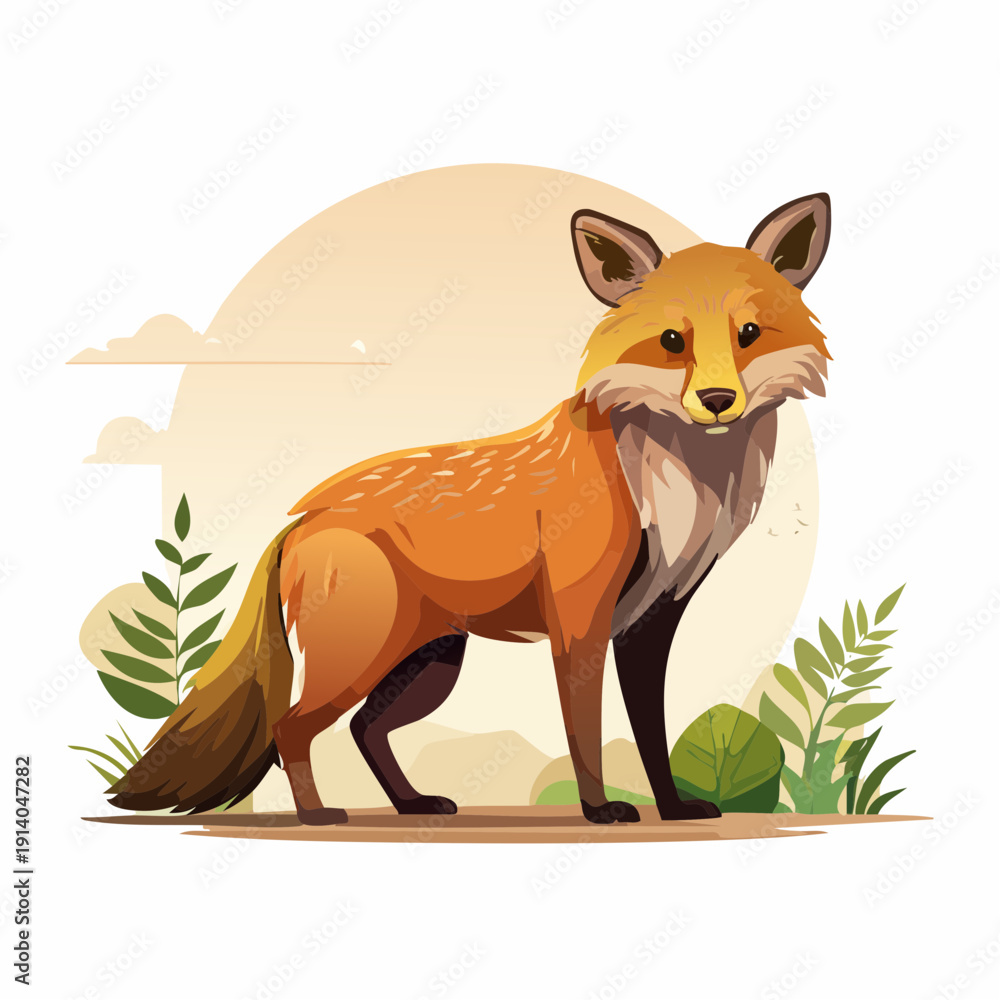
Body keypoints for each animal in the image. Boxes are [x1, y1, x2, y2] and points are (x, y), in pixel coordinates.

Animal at [108, 192, 831, 825]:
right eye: (673, 342)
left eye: (747, 334)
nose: (716, 400)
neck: (672, 488)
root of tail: (300, 521)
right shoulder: (580, 621)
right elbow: (585, 728)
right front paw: (599, 811)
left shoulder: (650, 620)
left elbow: (651, 732)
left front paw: (674, 809)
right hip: (365, 657)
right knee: (293, 728)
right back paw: (317, 814)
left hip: (431, 661)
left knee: (365, 729)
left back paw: (411, 804)